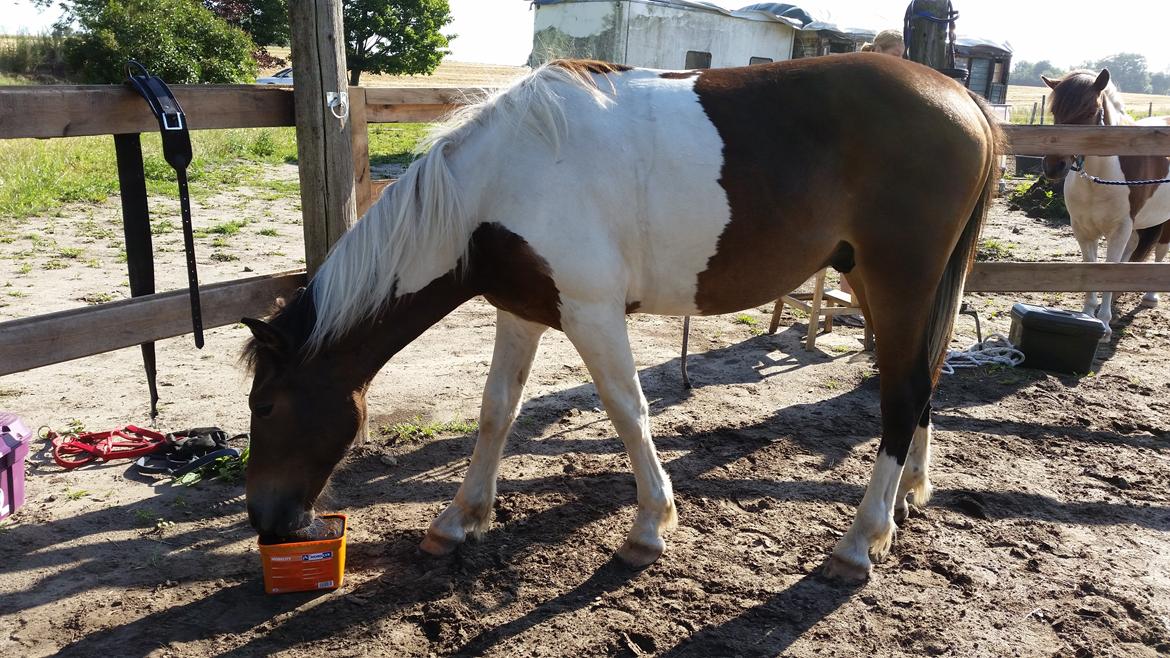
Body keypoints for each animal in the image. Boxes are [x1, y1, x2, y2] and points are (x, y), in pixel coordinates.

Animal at [242, 55, 1001, 578]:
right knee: (927, 375)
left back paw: (860, 540)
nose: (268, 524)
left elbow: (627, 410)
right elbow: (496, 411)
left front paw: (649, 527)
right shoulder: (523, 312)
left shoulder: (591, 312)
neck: (497, 184)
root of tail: (963, 96)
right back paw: (911, 495)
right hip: (887, 283)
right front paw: (461, 518)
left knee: (902, 393)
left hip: (897, 281)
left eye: (268, 407)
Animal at [1043, 70, 1170, 337]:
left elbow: (1108, 268)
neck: (1100, 177)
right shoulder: (1083, 230)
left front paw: (1103, 324)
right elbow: (1092, 268)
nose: (1053, 166)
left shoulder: (1119, 229)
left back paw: (1150, 296)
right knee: (1133, 247)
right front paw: (1088, 313)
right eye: (1055, 110)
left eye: (1090, 111)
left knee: (1161, 250)